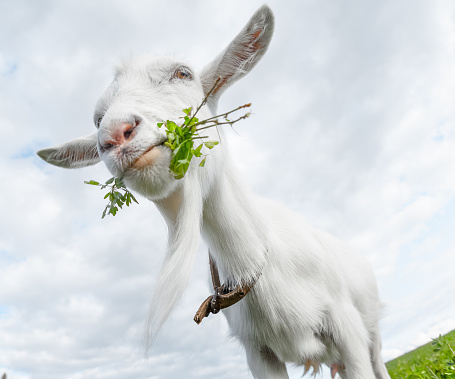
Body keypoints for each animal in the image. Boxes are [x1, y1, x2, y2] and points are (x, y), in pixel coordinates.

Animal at [36, 5, 392, 379]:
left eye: (183, 73)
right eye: (96, 119)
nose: (115, 134)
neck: (259, 265)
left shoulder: (346, 326)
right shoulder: (258, 352)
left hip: (371, 331)